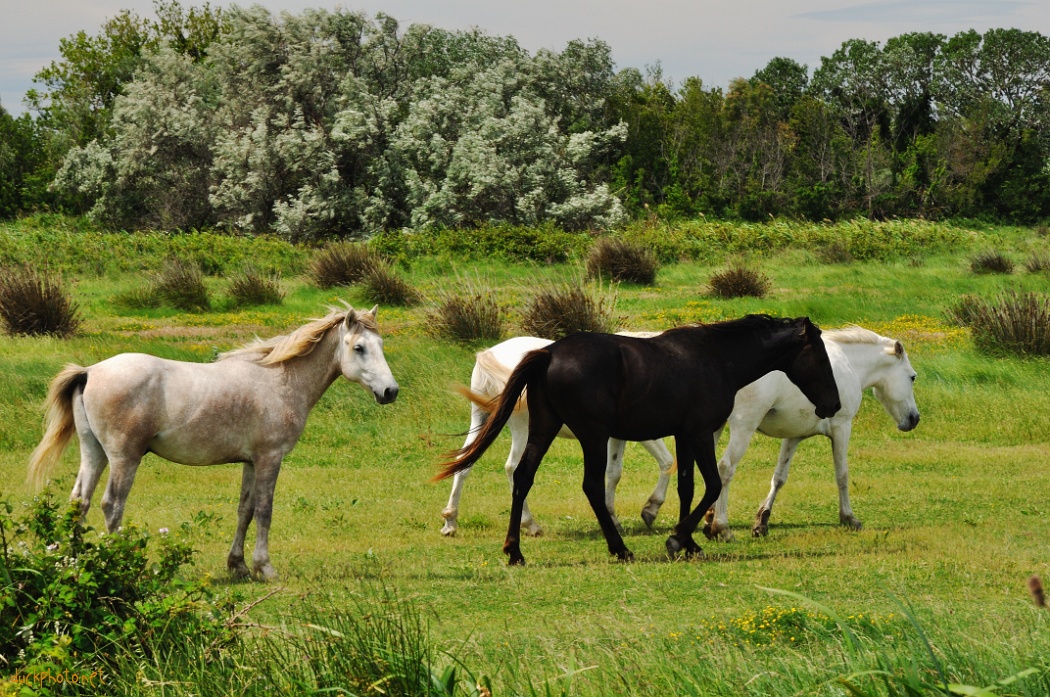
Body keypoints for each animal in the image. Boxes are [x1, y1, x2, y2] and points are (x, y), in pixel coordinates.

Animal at [28, 302, 398, 579]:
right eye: (359, 348)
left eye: (380, 346)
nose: (390, 391)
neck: (281, 380)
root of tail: (90, 371)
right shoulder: (270, 458)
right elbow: (264, 510)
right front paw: (265, 568)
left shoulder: (251, 462)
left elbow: (245, 510)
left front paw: (239, 566)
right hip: (124, 458)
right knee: (111, 505)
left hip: (94, 453)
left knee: (80, 502)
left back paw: (75, 563)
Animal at [440, 335, 672, 535]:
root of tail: (489, 354)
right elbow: (667, 462)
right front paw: (651, 509)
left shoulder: (616, 437)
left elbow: (614, 473)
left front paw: (613, 519)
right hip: (524, 429)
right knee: (513, 468)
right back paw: (530, 524)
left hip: (482, 420)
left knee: (463, 463)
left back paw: (450, 521)